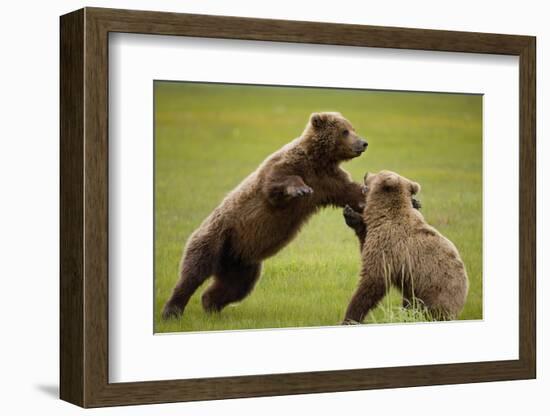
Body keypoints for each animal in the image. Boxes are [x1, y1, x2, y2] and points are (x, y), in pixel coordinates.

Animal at [163, 110, 370, 318]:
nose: (363, 143)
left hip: (241, 262)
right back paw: (172, 310)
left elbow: (351, 192)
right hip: (217, 237)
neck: (318, 160)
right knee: (194, 270)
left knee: (235, 286)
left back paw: (211, 306)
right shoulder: (289, 167)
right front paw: (301, 189)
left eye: (352, 128)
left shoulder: (328, 181)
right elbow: (276, 183)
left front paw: (366, 193)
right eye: (345, 131)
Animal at [344, 169, 470, 322]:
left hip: (436, 292)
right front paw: (351, 215)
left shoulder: (389, 245)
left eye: (379, 172)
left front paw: (350, 317)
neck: (383, 214)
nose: (366, 173)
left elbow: (373, 280)